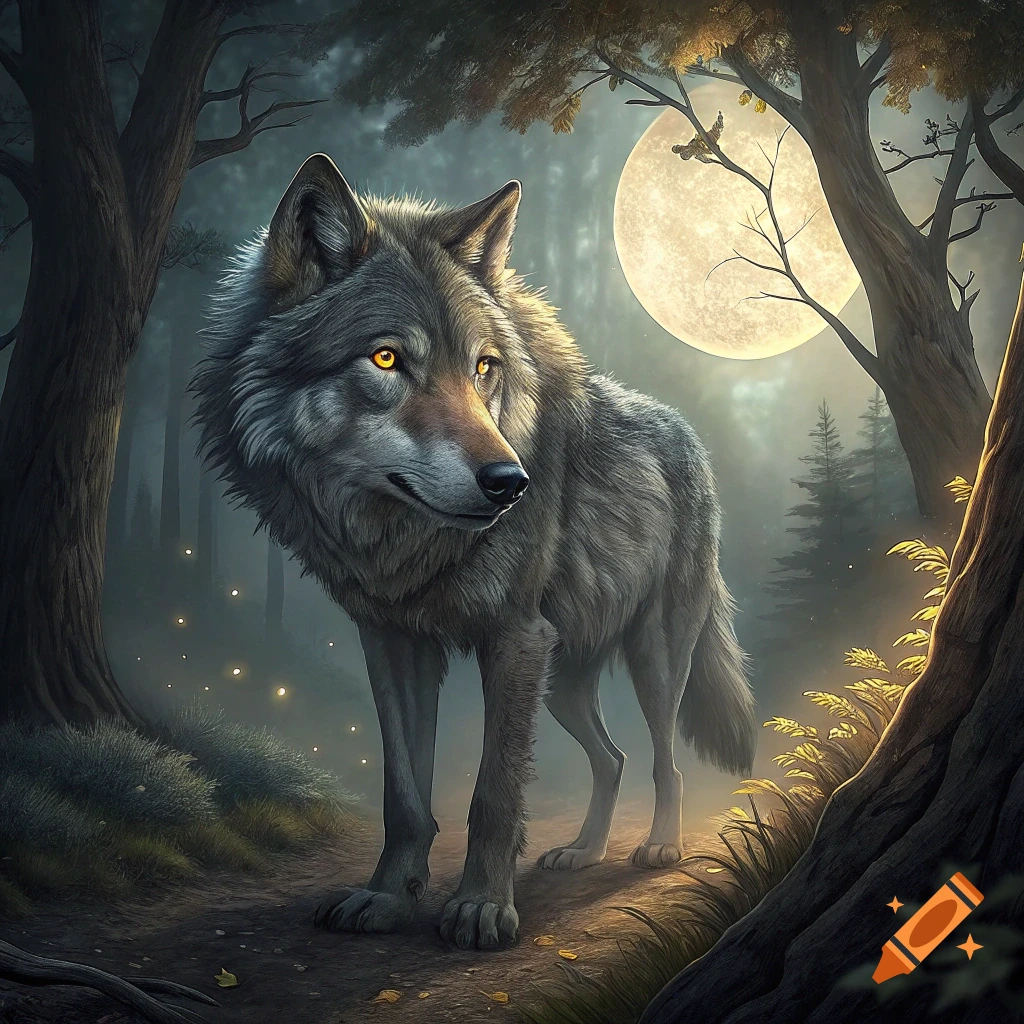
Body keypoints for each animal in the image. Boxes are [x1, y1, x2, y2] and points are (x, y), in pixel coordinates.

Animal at [191, 154, 757, 951]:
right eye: (387, 358)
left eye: (484, 367)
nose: (511, 483)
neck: (401, 539)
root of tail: (690, 438)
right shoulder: (393, 642)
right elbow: (404, 793)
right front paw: (387, 897)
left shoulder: (513, 639)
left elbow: (494, 793)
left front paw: (483, 908)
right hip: (565, 681)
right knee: (612, 759)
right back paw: (583, 852)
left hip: (650, 659)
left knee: (664, 760)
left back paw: (660, 846)